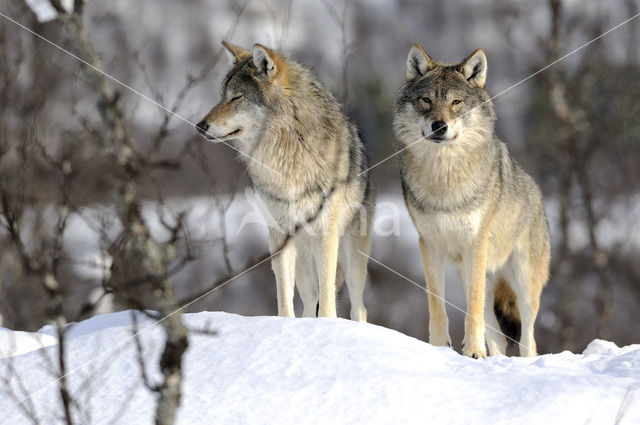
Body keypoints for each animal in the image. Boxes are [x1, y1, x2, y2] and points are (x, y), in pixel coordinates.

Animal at [198, 42, 372, 322]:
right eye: (222, 96)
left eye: (236, 98)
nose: (200, 126)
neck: (287, 152)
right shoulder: (279, 233)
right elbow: (283, 292)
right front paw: (285, 323)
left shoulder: (326, 232)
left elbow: (327, 297)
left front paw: (327, 324)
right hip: (303, 259)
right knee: (309, 301)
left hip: (352, 257)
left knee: (358, 306)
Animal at [392, 44, 552, 354]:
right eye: (426, 100)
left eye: (456, 102)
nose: (438, 126)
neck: (445, 180)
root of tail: (538, 194)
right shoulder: (429, 244)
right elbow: (436, 305)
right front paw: (440, 348)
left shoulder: (475, 243)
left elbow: (472, 309)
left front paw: (474, 352)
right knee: (499, 337)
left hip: (523, 283)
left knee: (528, 338)